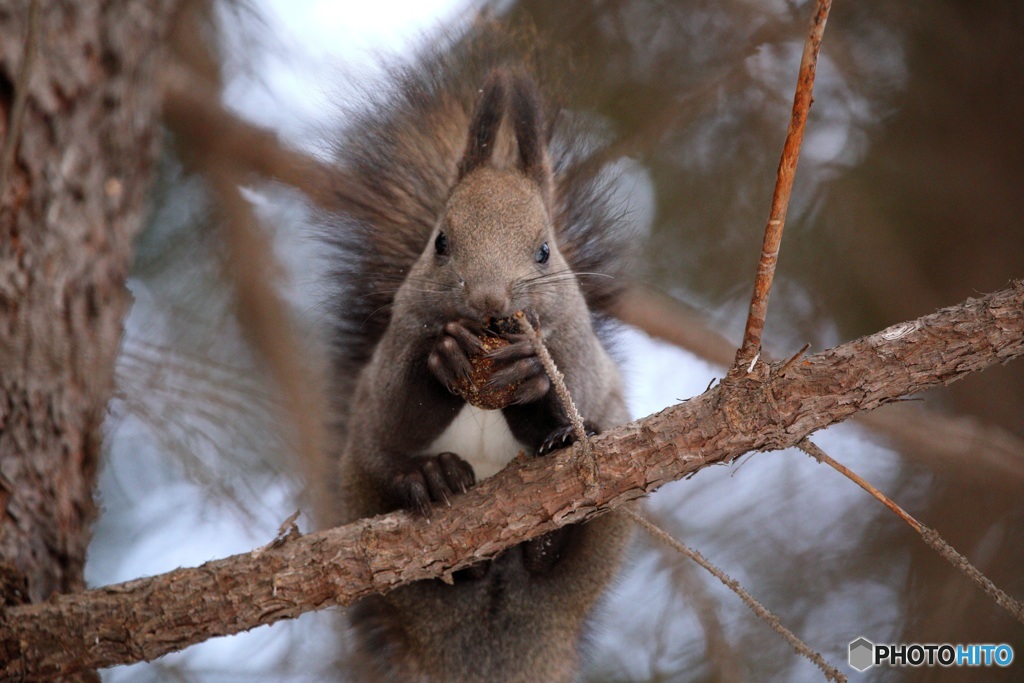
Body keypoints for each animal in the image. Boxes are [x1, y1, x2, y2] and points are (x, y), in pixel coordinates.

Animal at [321, 24, 638, 679]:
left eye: (545, 250)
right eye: (440, 242)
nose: (489, 297)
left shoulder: (578, 354)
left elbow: (573, 398)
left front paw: (532, 384)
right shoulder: (392, 353)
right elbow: (399, 411)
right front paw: (443, 363)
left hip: (611, 525)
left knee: (562, 552)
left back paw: (546, 539)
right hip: (360, 484)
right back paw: (437, 484)